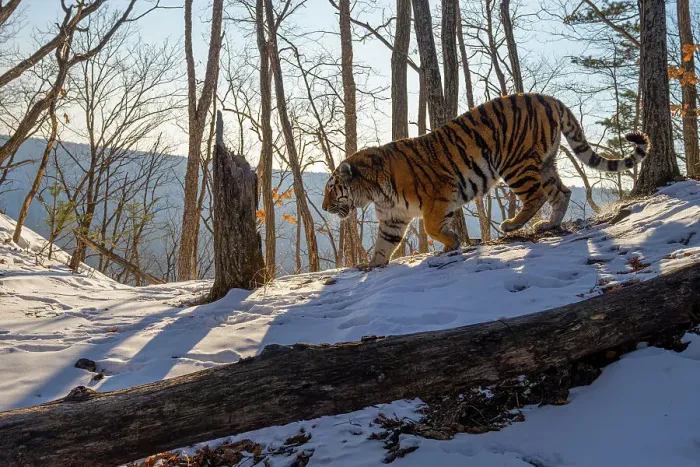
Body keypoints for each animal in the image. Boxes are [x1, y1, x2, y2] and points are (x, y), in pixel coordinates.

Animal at [322, 93, 649, 269]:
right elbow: (383, 244)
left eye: (331, 190)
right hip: (546, 162)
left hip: (515, 162)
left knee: (537, 196)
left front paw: (453, 241)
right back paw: (548, 225)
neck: (375, 191)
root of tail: (549, 98)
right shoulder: (394, 216)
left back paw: (513, 225)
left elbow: (431, 227)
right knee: (563, 192)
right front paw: (372, 266)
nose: (324, 208)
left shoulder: (439, 194)